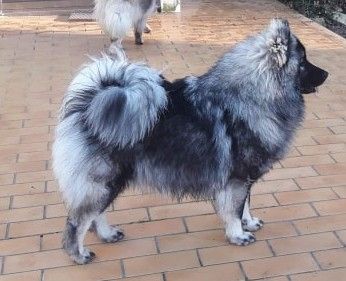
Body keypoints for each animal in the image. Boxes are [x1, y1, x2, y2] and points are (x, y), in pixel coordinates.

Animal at [52, 19, 328, 262]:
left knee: (95, 216)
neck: (254, 96)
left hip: (110, 182)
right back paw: (79, 254)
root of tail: (89, 105)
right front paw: (238, 234)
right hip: (105, 181)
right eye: (303, 62)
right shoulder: (237, 178)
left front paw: (249, 223)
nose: (327, 73)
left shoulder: (244, 178)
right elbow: (235, 209)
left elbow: (245, 205)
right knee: (78, 221)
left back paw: (107, 234)